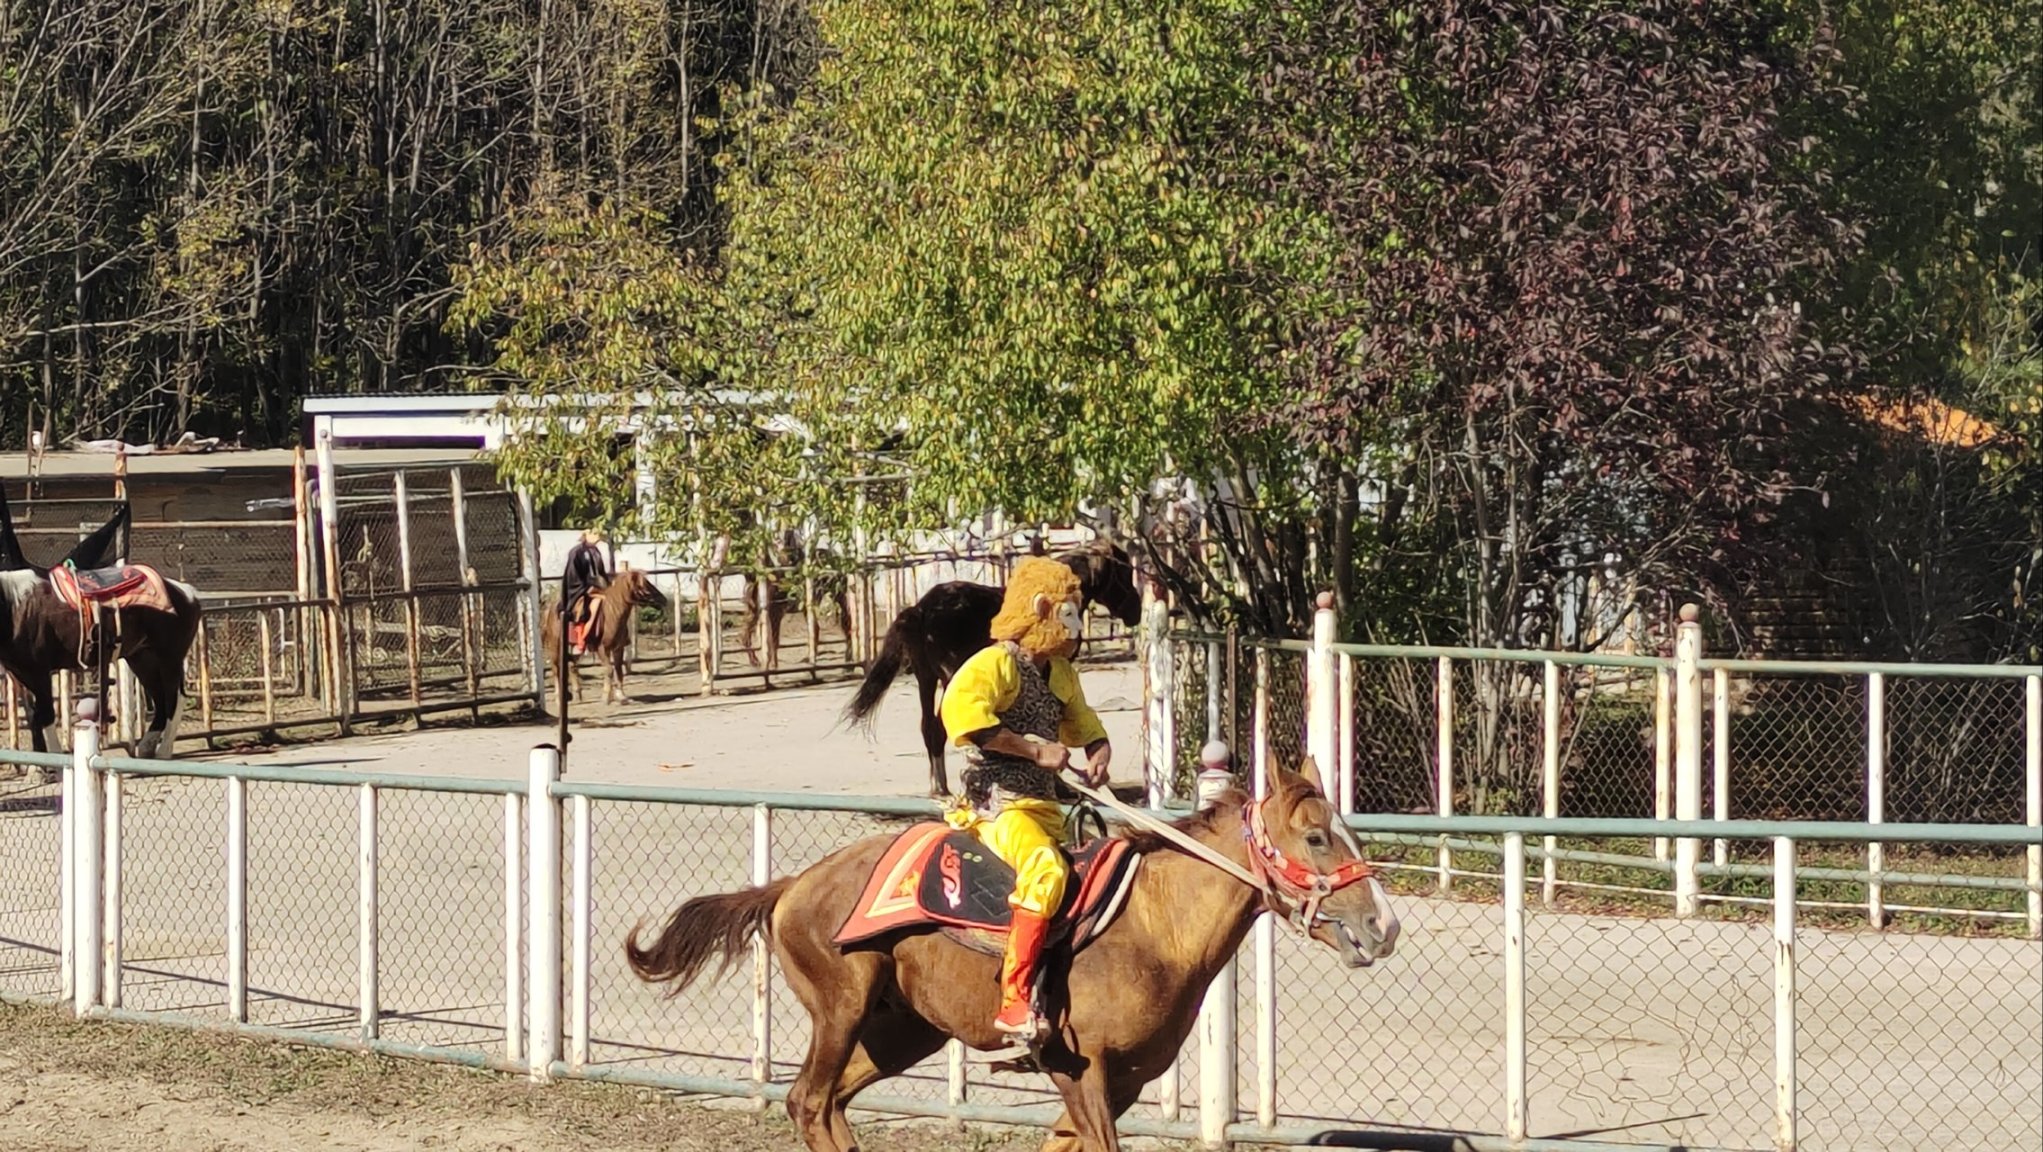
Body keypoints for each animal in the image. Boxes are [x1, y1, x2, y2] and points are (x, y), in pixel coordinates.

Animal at [543, 563, 670, 706]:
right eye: (643, 586)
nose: (663, 599)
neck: (612, 614)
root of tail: (551, 608)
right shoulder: (602, 649)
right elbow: (609, 670)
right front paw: (605, 697)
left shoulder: (618, 648)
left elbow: (619, 670)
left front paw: (621, 696)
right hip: (555, 645)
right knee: (556, 668)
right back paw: (559, 698)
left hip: (574, 647)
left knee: (571, 666)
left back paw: (577, 695)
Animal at [621, 755, 1397, 1152]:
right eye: (1317, 838)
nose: (1382, 926)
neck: (1152, 928)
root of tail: (791, 886)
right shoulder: (1078, 1071)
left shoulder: (1119, 1084)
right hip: (839, 1011)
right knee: (808, 1101)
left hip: (901, 1031)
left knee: (828, 1103)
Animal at [833, 539, 1152, 792]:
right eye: (1124, 571)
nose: (1135, 610)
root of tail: (921, 609)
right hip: (950, 678)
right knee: (942, 726)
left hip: (926, 678)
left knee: (930, 729)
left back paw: (939, 787)